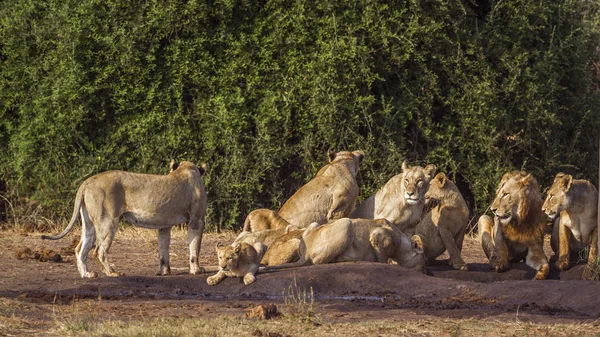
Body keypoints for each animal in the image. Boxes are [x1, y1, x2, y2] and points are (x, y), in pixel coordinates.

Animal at [41, 161, 206, 276]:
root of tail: (87, 181)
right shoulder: (196, 220)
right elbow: (195, 248)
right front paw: (197, 270)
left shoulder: (164, 225)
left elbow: (163, 250)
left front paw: (164, 272)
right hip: (108, 220)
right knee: (99, 251)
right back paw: (112, 273)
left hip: (89, 223)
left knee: (80, 249)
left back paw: (87, 274)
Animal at [264, 217, 426, 272]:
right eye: (423, 261)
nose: (423, 271)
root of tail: (305, 253)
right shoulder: (377, 234)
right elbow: (381, 258)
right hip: (346, 223)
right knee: (317, 262)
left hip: (314, 224)